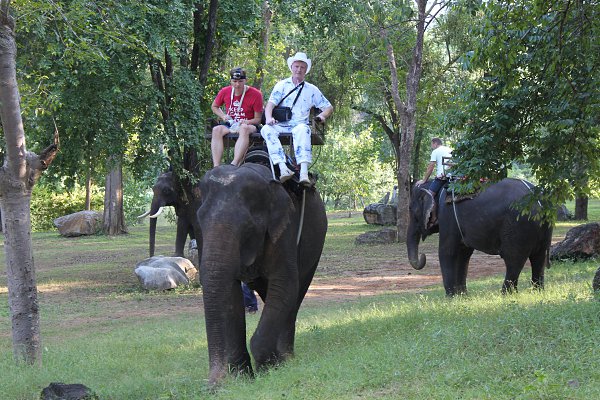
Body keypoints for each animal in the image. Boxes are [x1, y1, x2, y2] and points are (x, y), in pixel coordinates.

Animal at [196, 162, 327, 387]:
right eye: (199, 221)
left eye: (248, 227)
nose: (212, 386)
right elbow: (231, 296)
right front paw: (241, 375)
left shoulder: (284, 231)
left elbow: (284, 284)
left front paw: (267, 369)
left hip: (316, 245)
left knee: (295, 294)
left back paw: (286, 358)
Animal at [407, 178, 553, 296]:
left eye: (411, 210)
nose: (423, 256)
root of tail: (540, 201)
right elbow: (463, 254)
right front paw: (462, 296)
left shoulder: (448, 218)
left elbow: (447, 252)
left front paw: (450, 297)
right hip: (542, 229)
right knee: (539, 259)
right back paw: (537, 292)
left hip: (518, 226)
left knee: (513, 259)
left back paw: (506, 294)